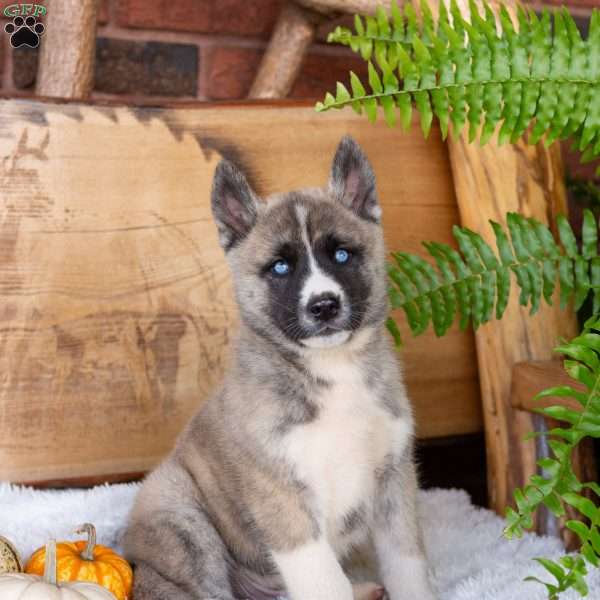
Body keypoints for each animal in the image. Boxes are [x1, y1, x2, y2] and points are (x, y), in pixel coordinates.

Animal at [123, 137, 436, 600]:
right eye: (280, 267)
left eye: (341, 254)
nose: (324, 305)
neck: (333, 370)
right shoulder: (285, 501)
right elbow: (326, 583)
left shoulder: (393, 479)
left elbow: (407, 565)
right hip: (183, 517)